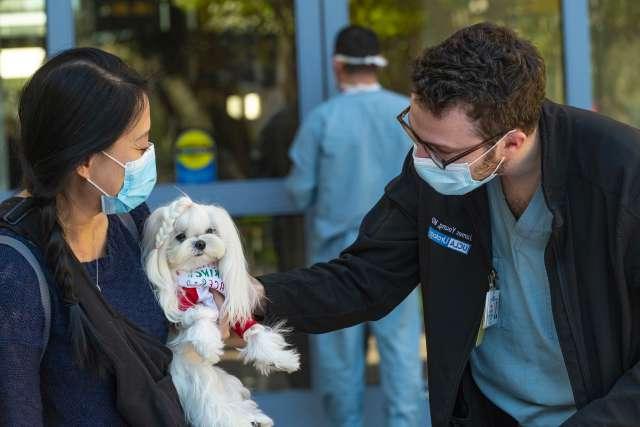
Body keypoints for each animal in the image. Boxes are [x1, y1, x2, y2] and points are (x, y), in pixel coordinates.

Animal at [142, 197, 300, 427]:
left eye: (210, 230)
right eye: (180, 237)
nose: (200, 242)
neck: (200, 275)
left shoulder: (230, 306)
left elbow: (254, 331)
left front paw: (279, 358)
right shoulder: (184, 308)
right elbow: (200, 316)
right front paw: (208, 345)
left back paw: (256, 419)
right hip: (196, 378)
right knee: (214, 405)